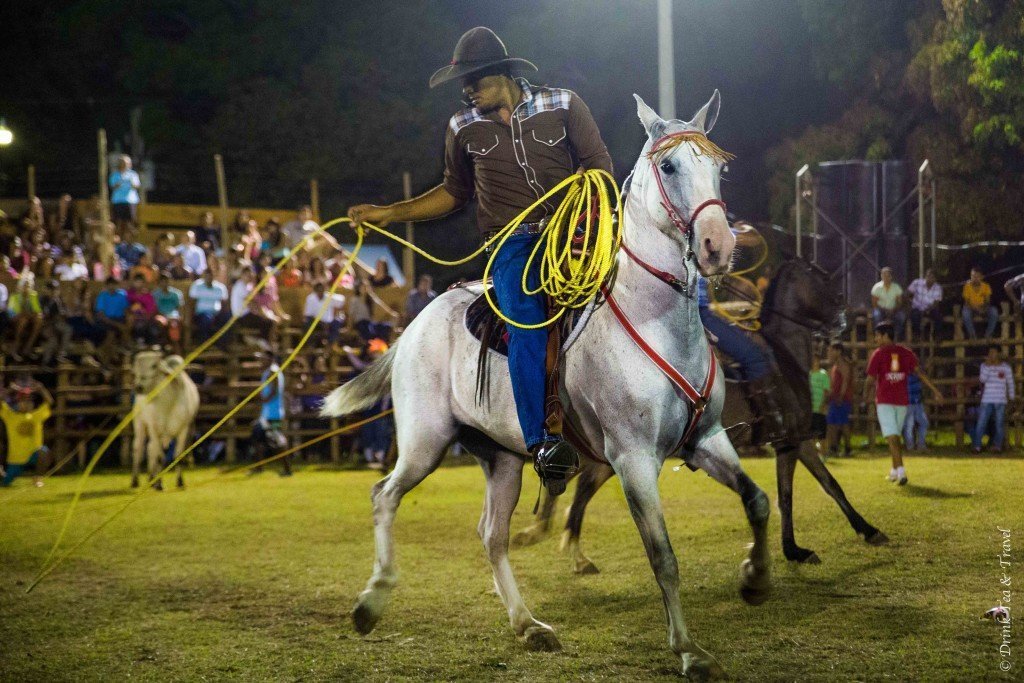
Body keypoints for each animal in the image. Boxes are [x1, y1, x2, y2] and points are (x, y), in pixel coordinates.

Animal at [130, 350, 197, 489]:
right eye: (135, 367)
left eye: (154, 365)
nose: (138, 387)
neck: (168, 403)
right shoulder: (154, 429)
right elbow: (160, 457)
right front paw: (160, 484)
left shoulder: (184, 429)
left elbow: (178, 456)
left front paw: (180, 481)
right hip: (140, 424)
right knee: (138, 449)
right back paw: (136, 481)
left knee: (150, 449)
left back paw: (151, 478)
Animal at [321, 94, 770, 679]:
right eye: (669, 166)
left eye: (720, 168)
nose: (719, 246)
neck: (653, 319)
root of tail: (414, 325)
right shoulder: (632, 459)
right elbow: (663, 556)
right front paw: (690, 651)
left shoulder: (708, 439)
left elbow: (757, 500)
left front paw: (755, 578)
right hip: (424, 442)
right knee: (384, 496)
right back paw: (371, 602)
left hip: (503, 458)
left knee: (491, 535)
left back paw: (527, 624)